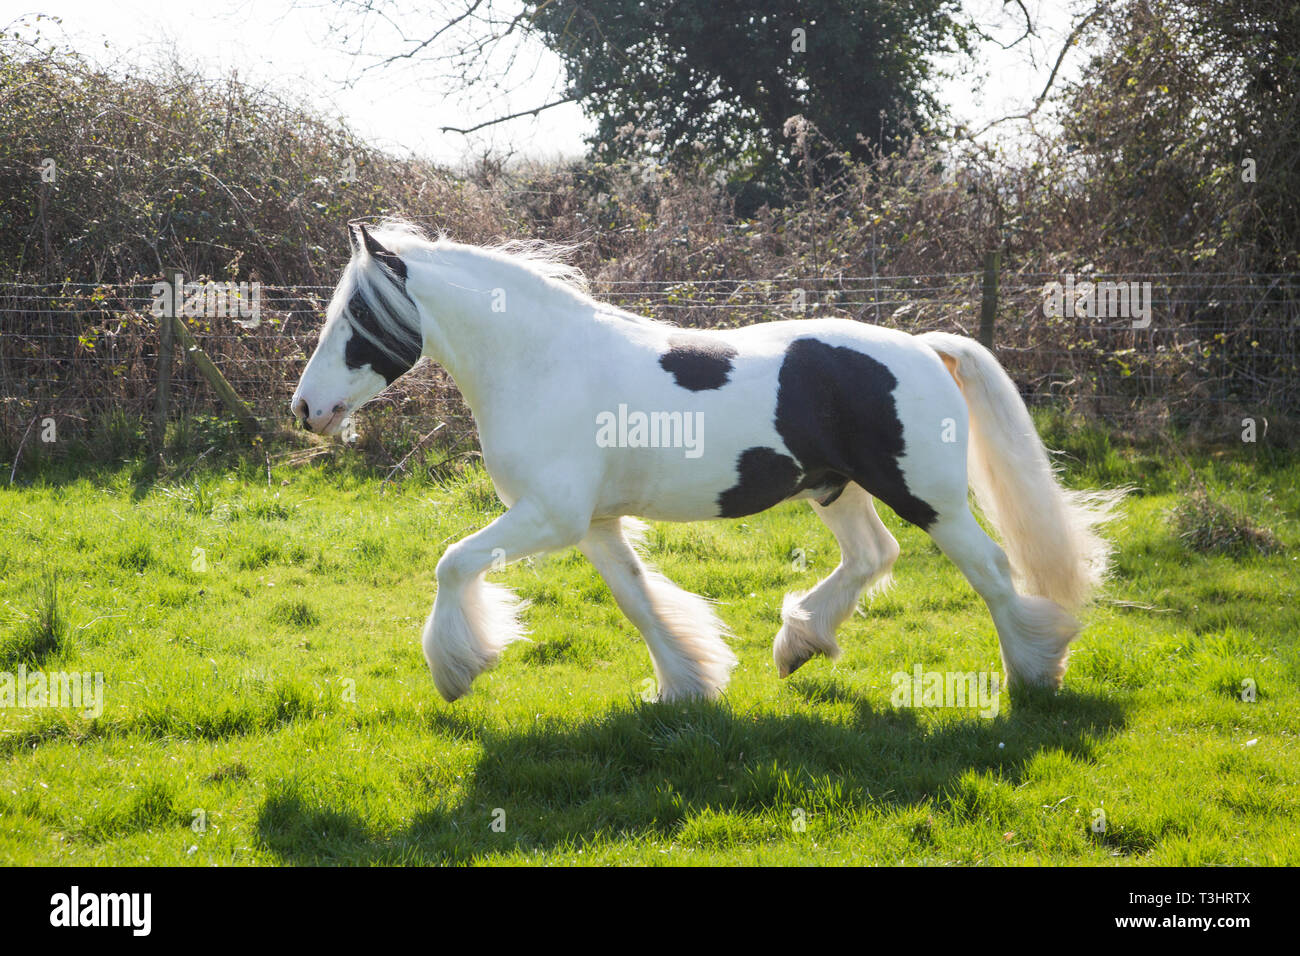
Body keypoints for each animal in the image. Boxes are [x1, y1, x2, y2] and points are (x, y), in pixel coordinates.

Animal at [292, 221, 1118, 707]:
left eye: (357, 318)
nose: (306, 409)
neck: (543, 362)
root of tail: (922, 346)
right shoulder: (593, 525)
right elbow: (638, 602)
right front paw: (687, 686)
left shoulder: (549, 518)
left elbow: (453, 563)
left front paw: (457, 669)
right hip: (835, 489)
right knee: (872, 556)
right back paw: (799, 643)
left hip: (929, 497)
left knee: (991, 570)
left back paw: (1036, 672)